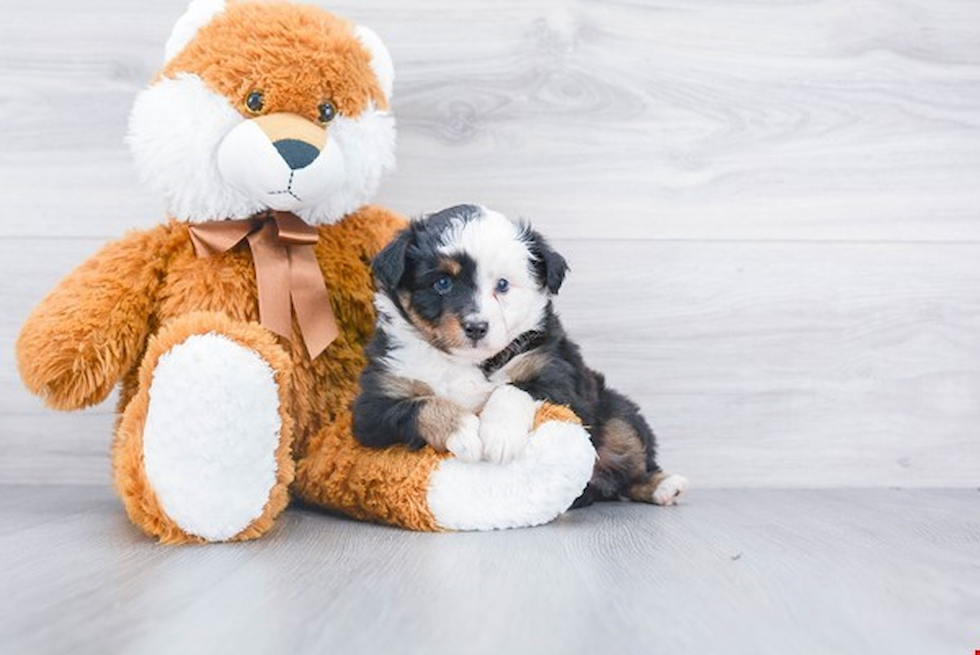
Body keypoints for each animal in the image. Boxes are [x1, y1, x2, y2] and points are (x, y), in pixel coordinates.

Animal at [354, 205, 688, 508]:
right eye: (442, 283)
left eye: (502, 285)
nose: (476, 327)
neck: (468, 361)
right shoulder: (372, 408)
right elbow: (423, 404)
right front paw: (464, 431)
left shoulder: (558, 377)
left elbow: (510, 390)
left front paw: (499, 436)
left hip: (617, 415)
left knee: (632, 464)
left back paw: (664, 486)